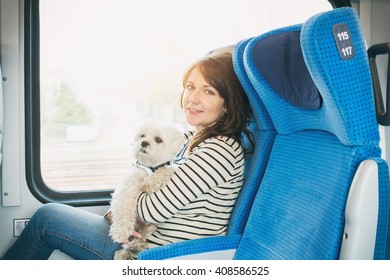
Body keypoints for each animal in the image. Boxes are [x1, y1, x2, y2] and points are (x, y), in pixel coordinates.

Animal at [106, 122, 184, 260]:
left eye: (158, 139)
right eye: (142, 136)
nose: (144, 142)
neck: (151, 167)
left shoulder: (168, 167)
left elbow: (166, 170)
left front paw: (149, 183)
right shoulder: (127, 185)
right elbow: (122, 208)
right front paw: (120, 232)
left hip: (151, 226)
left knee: (143, 236)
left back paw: (135, 246)